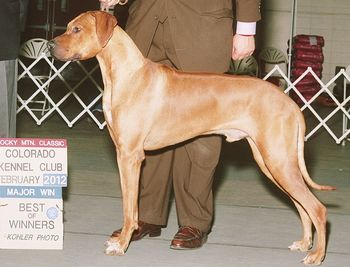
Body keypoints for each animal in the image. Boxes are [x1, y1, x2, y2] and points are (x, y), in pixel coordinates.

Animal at [47, 11, 334, 266]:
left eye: (77, 29)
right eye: (68, 27)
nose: (50, 45)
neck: (127, 74)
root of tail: (290, 103)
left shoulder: (130, 156)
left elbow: (130, 208)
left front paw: (121, 245)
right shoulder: (126, 154)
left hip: (278, 160)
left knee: (317, 208)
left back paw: (316, 255)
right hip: (271, 161)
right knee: (301, 204)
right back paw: (305, 243)